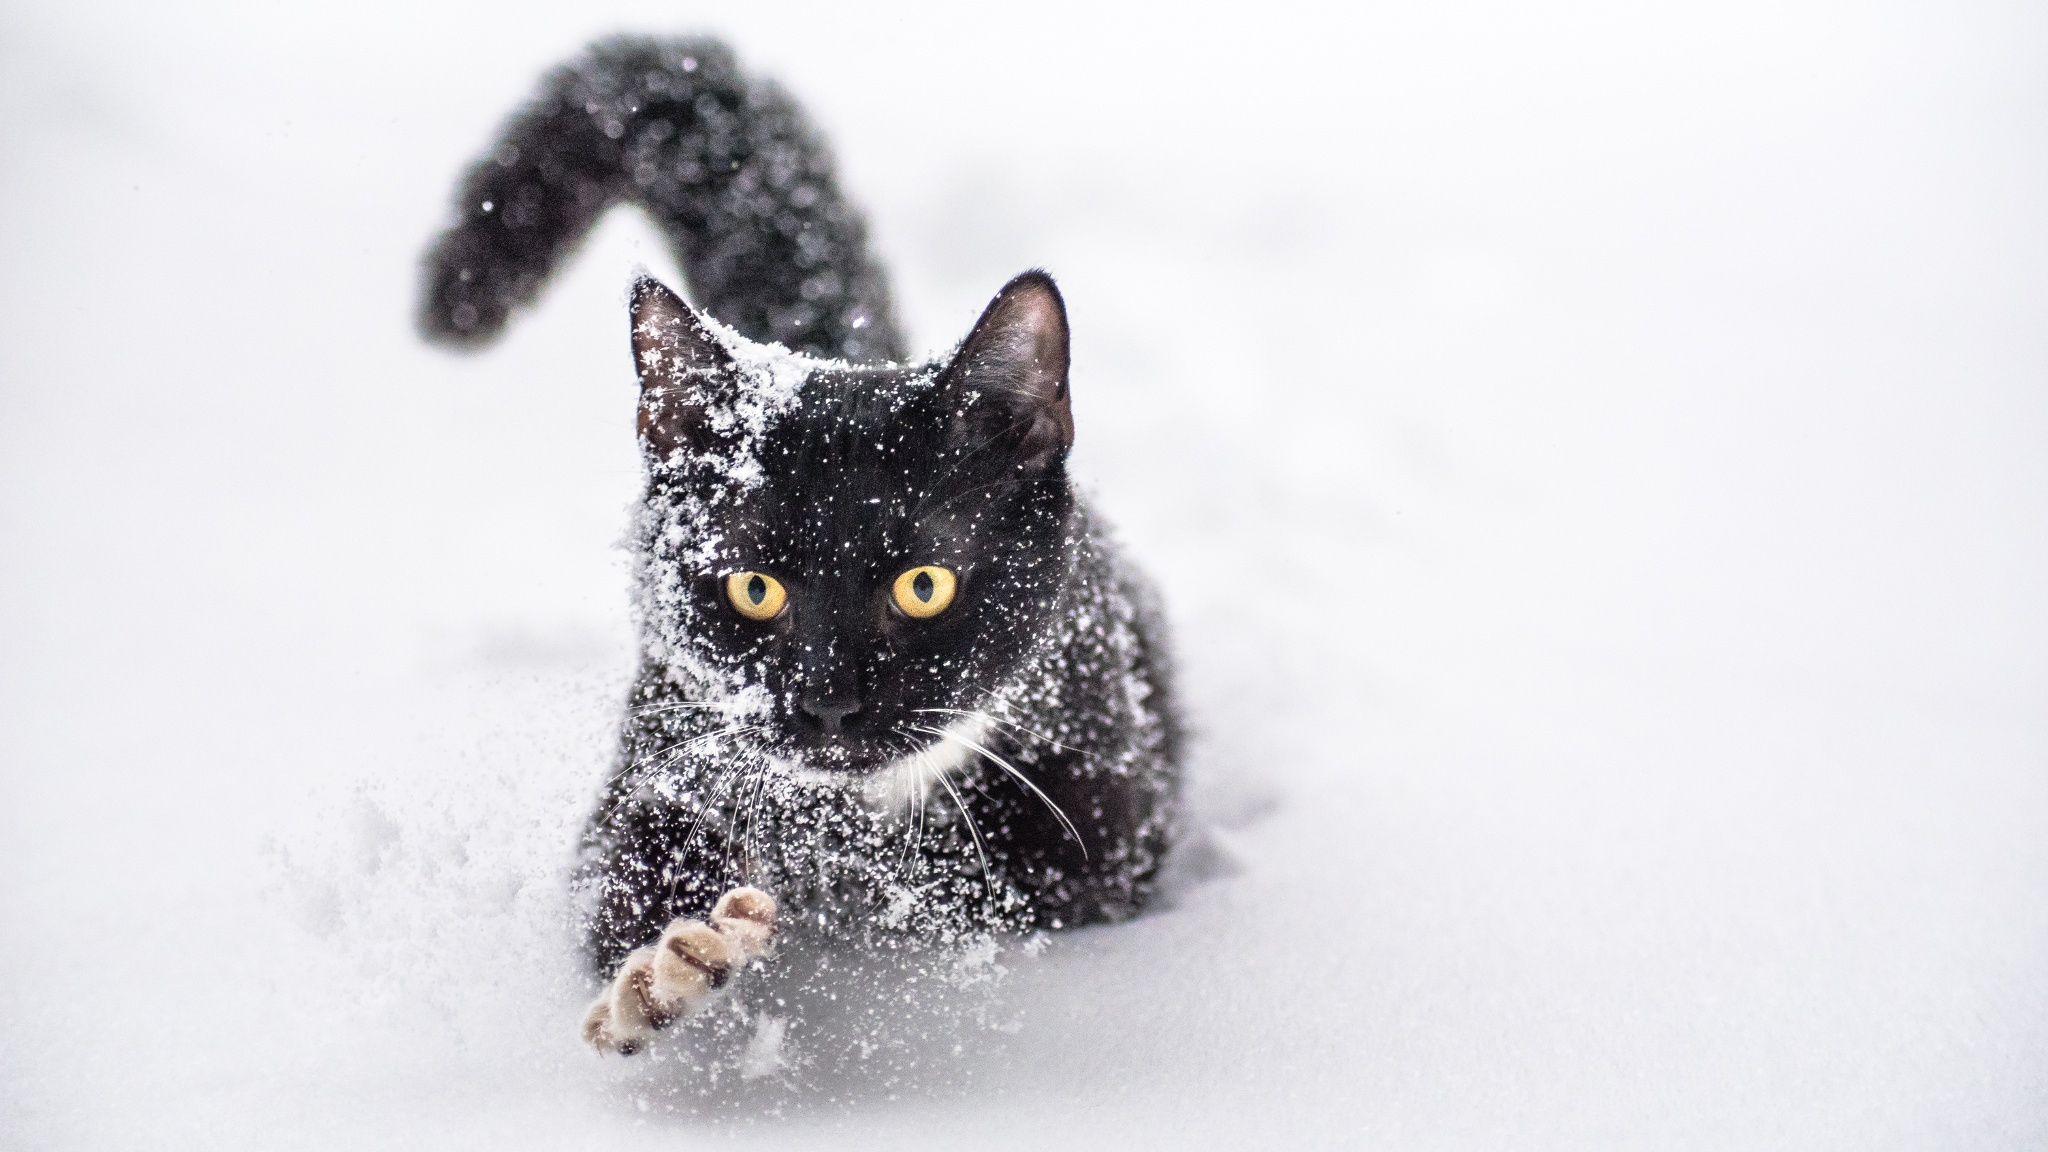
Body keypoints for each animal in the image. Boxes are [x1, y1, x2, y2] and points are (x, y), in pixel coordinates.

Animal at [415, 33, 1179, 1049]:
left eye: (924, 585)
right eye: (755, 588)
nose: (828, 703)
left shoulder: (1103, 828)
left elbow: (972, 901)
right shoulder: (661, 760)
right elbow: (618, 883)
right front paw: (668, 972)